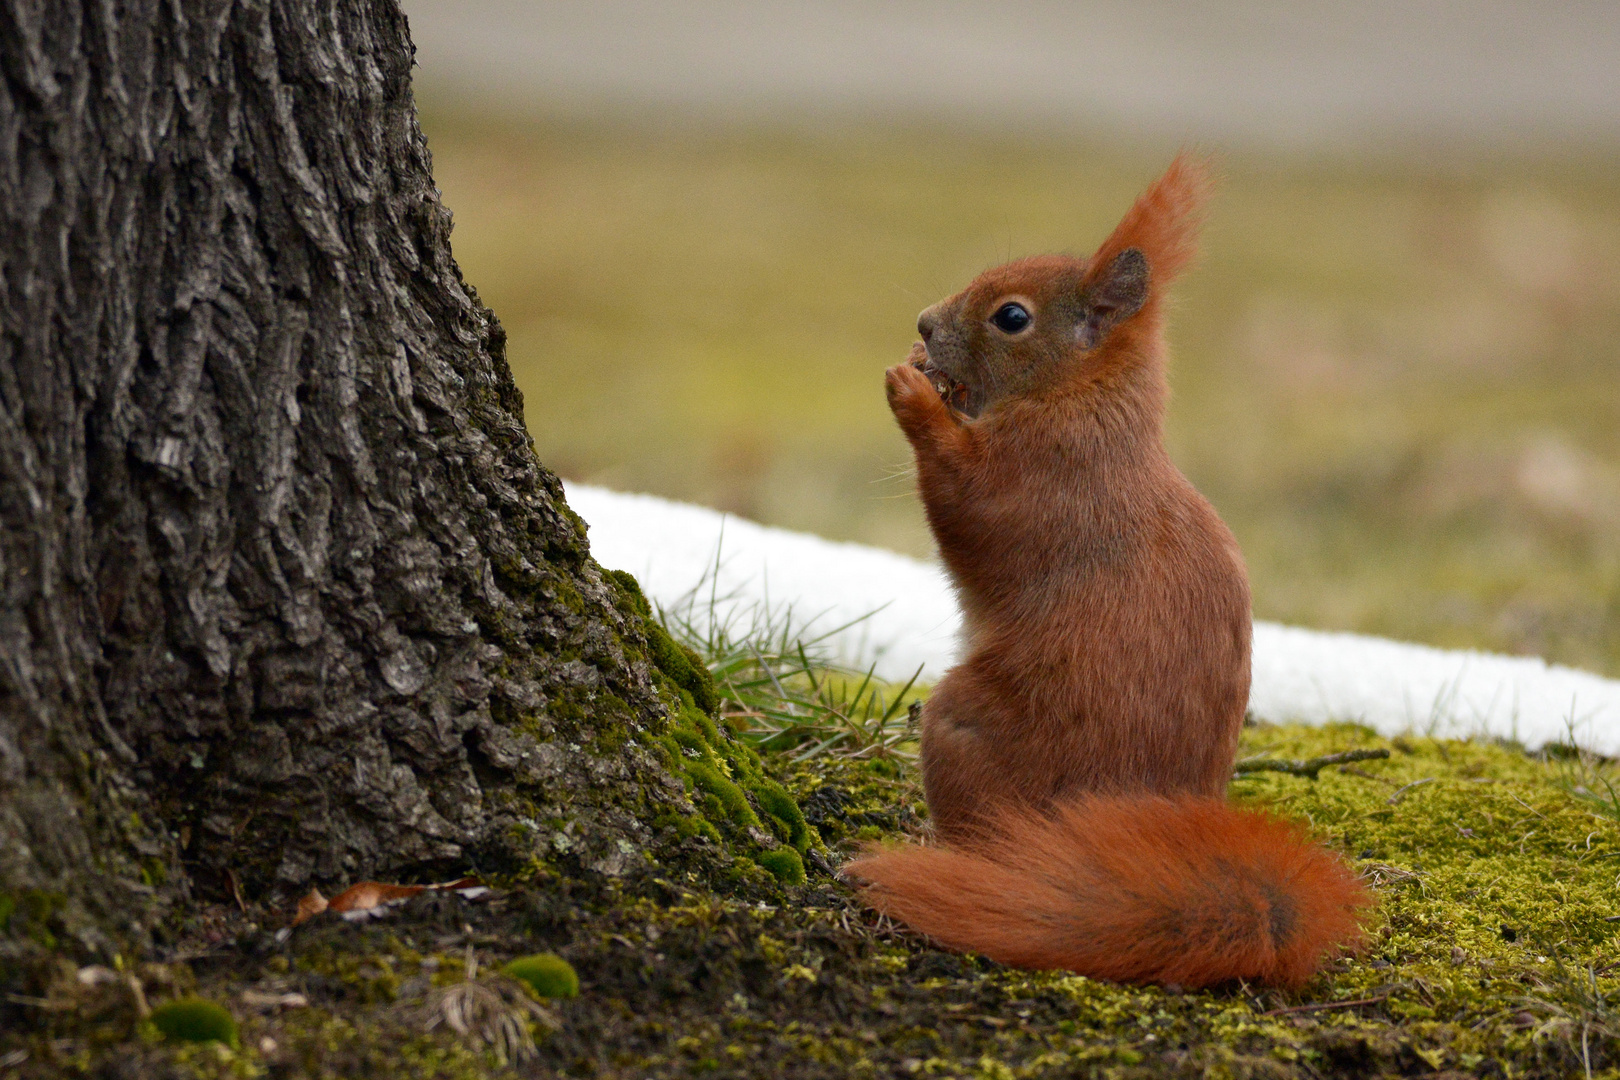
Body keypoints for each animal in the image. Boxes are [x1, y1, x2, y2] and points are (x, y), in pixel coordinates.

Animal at [842, 156, 1373, 990]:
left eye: (1012, 318)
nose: (925, 325)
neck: (1083, 402)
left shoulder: (1043, 482)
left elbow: (967, 506)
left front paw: (915, 391)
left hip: (968, 732)